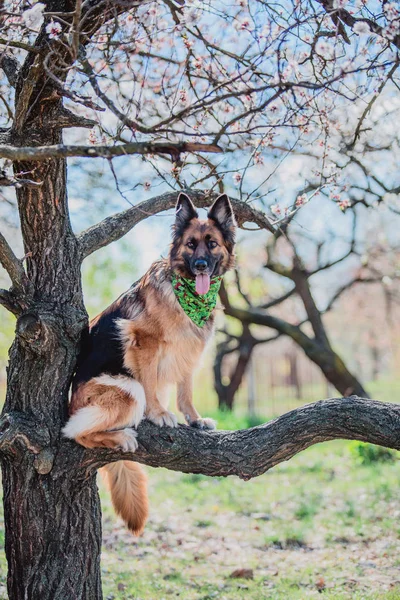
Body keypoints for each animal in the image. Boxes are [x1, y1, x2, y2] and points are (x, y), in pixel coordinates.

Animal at [62, 192, 236, 536]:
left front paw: (195, 420)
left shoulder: (190, 349)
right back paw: (121, 436)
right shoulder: (146, 343)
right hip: (127, 389)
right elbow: (151, 383)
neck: (186, 294)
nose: (200, 265)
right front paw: (158, 415)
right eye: (190, 244)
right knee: (75, 431)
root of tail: (73, 400)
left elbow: (186, 391)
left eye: (211, 244)